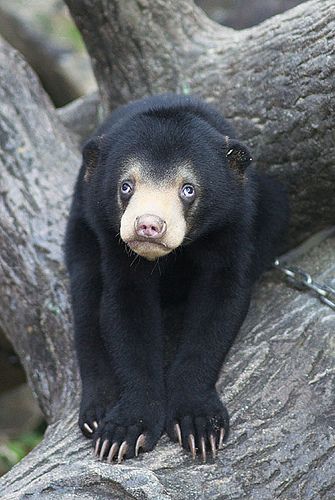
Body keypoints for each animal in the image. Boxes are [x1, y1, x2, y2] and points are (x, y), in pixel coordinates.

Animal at [65, 93, 288, 460]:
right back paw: (96, 412)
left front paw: (201, 427)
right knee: (84, 298)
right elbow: (124, 311)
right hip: (81, 229)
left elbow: (219, 306)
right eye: (125, 186)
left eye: (188, 189)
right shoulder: (110, 240)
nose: (148, 225)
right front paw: (122, 432)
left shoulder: (233, 225)